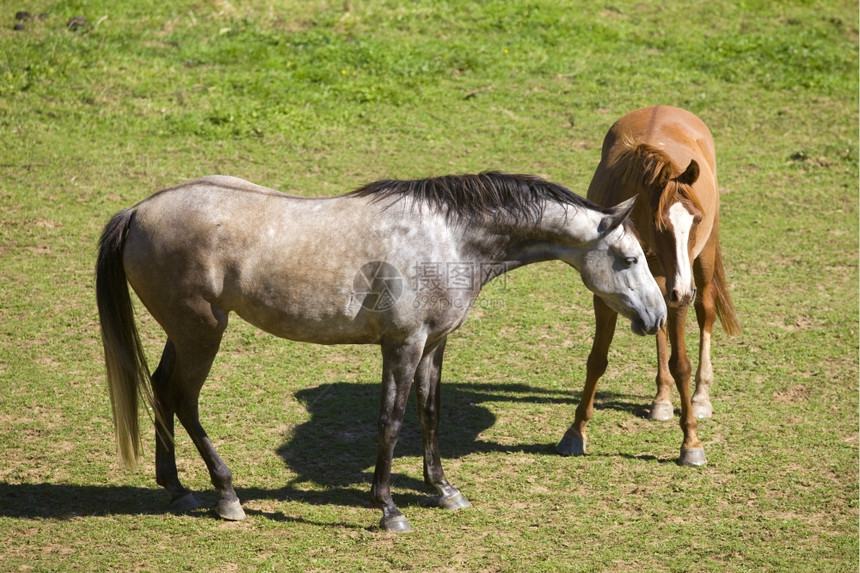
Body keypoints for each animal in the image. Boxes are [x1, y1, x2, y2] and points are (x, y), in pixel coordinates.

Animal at [95, 171, 664, 532]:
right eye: (629, 257)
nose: (657, 316)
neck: (449, 237)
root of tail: (138, 211)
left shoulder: (434, 343)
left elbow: (430, 413)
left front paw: (444, 490)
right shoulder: (403, 344)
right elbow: (391, 421)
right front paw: (388, 508)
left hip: (184, 334)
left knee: (162, 391)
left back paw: (178, 489)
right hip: (202, 332)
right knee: (184, 399)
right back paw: (227, 496)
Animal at [556, 106, 740, 464]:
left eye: (696, 219)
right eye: (660, 224)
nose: (683, 290)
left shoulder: (680, 288)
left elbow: (681, 363)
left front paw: (691, 442)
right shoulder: (606, 293)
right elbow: (597, 359)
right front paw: (575, 432)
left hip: (703, 261)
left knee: (706, 313)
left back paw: (700, 396)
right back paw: (661, 399)